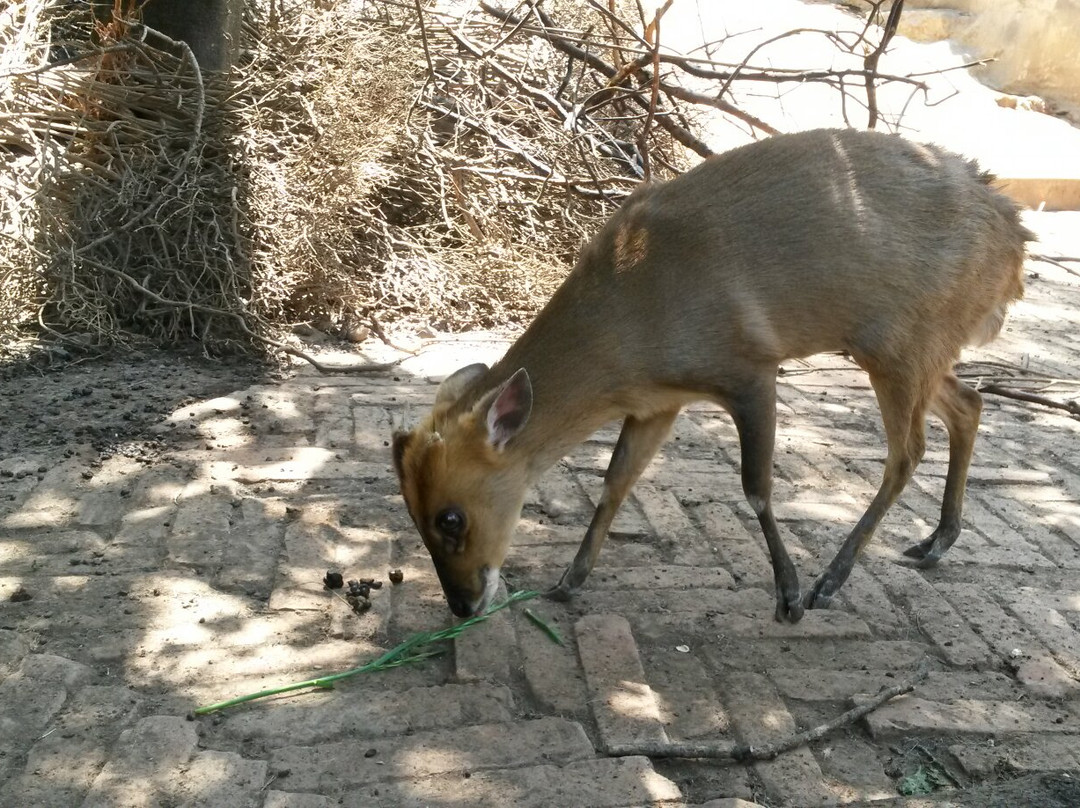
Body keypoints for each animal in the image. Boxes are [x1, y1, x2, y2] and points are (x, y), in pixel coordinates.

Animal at [393, 126, 1032, 622]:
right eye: (410, 510)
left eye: (450, 518)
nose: (462, 605)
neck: (632, 318)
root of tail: (1017, 240)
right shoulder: (658, 401)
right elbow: (616, 481)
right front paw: (568, 581)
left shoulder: (749, 367)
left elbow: (756, 487)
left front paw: (788, 595)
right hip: (912, 348)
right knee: (969, 402)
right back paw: (935, 541)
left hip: (903, 342)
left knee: (908, 451)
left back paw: (831, 581)